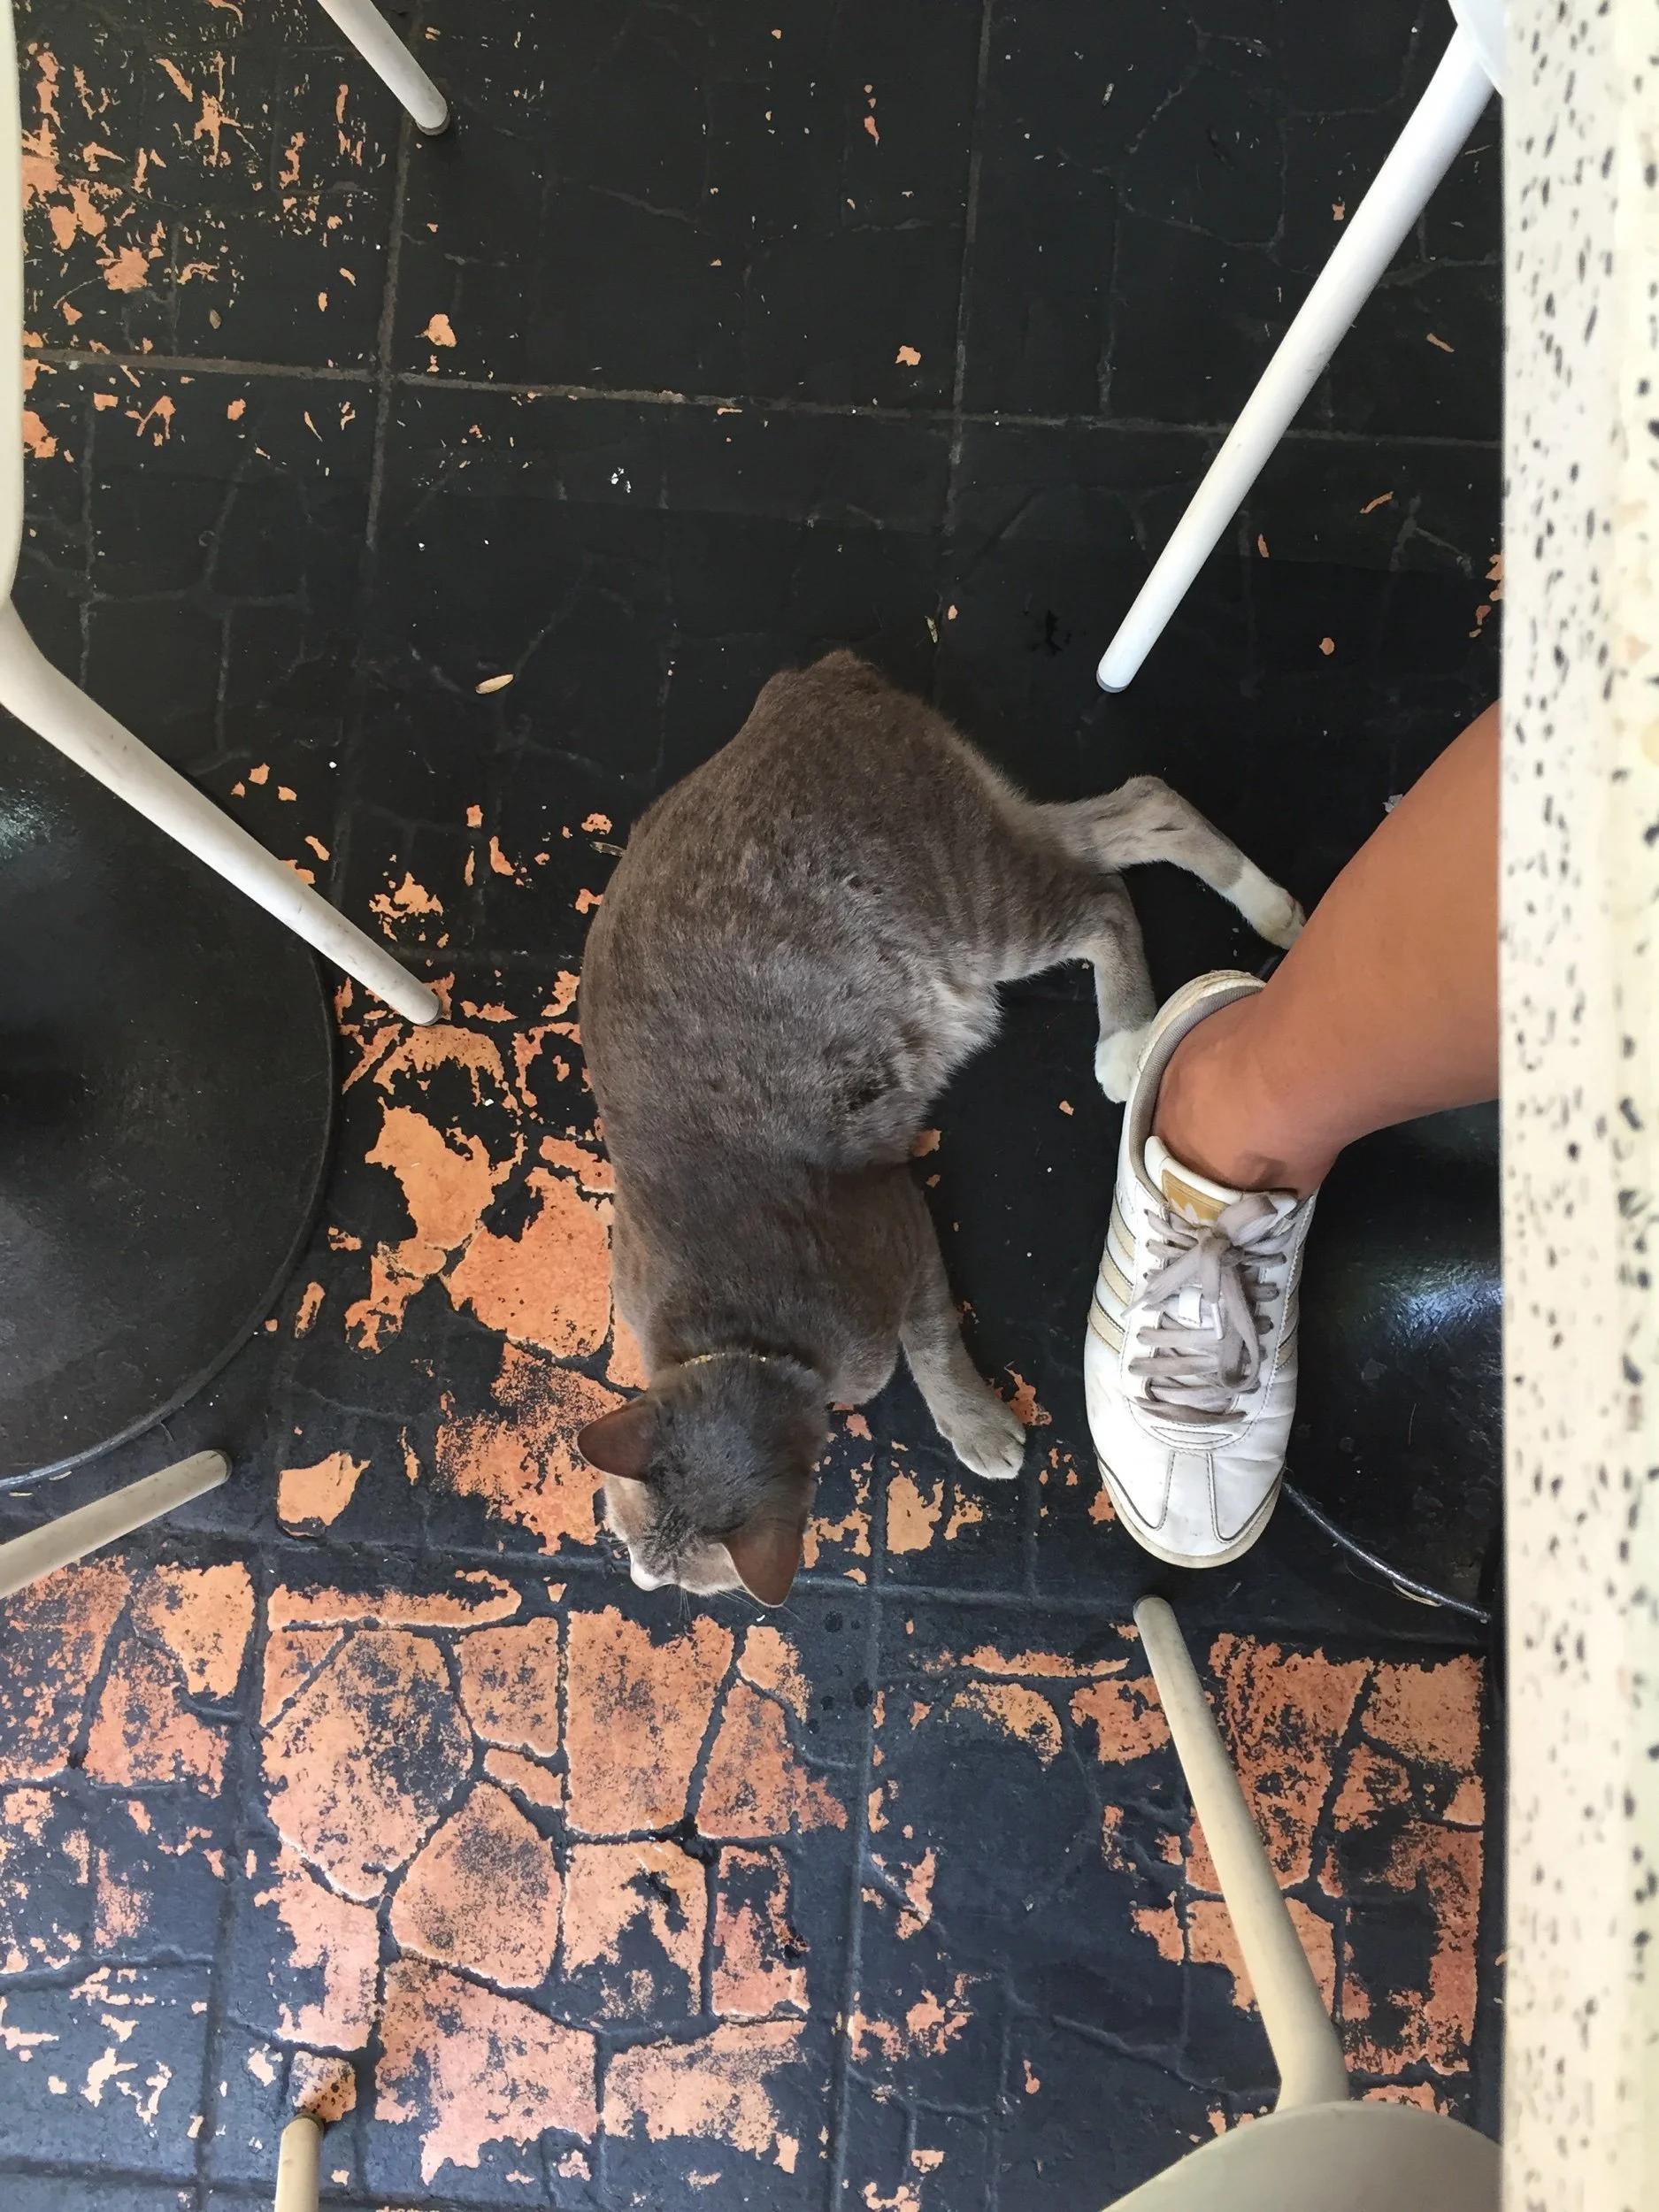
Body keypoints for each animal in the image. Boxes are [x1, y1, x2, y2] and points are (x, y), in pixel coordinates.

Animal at [577, 651, 1302, 1605]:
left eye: (689, 1586)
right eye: (626, 1541)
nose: (639, 1584)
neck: (737, 1336)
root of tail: (813, 681)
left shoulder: (898, 1227)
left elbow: (933, 1343)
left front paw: (972, 1421)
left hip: (977, 912)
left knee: (1102, 896)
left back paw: (1130, 1033)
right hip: (993, 848)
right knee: (1138, 811)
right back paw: (1267, 903)